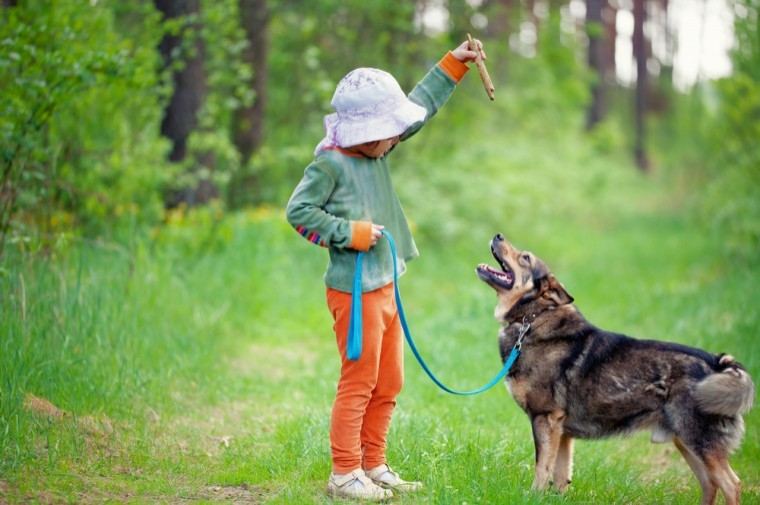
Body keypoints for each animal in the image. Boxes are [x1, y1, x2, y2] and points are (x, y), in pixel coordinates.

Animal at [476, 232, 756, 504]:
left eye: (525, 257)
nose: (498, 235)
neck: (533, 318)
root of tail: (717, 363)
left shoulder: (545, 419)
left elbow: (541, 469)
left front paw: (534, 496)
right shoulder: (562, 431)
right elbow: (560, 475)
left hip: (699, 441)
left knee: (731, 484)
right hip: (686, 442)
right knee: (710, 483)